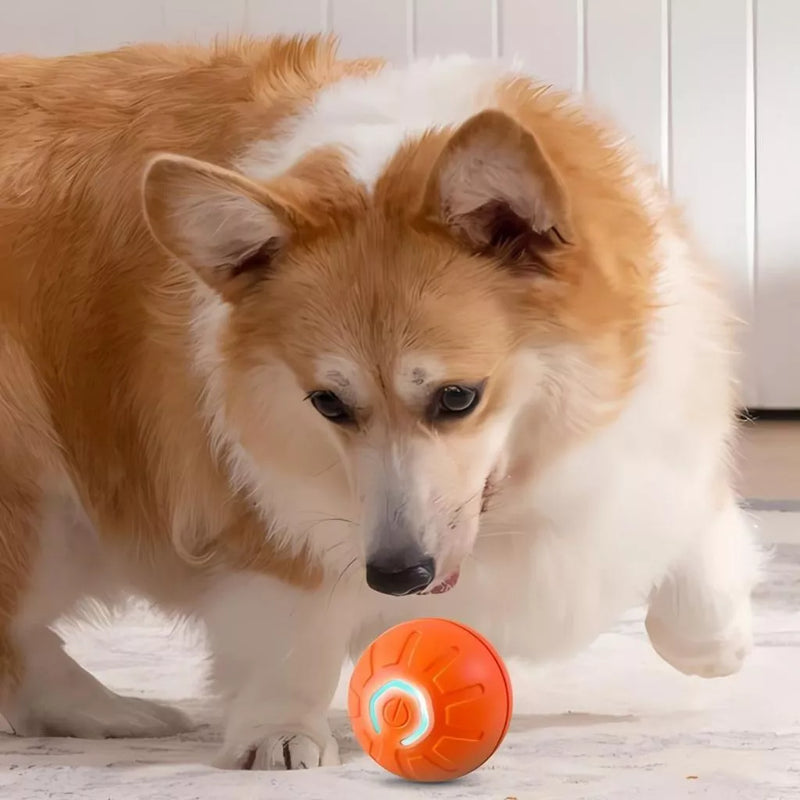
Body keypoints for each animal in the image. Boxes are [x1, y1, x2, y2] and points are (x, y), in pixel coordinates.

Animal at [0, 36, 764, 768]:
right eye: (327, 403)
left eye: (457, 397)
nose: (397, 577)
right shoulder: (266, 517)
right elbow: (289, 636)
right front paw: (278, 735)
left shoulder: (659, 434)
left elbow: (692, 558)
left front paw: (719, 641)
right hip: (41, 512)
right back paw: (112, 712)